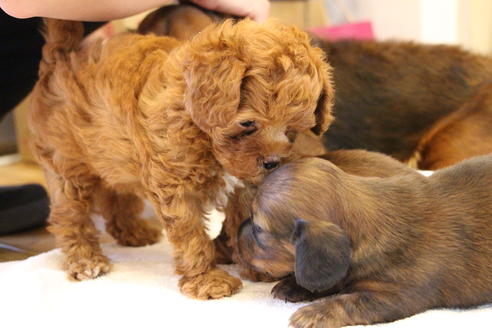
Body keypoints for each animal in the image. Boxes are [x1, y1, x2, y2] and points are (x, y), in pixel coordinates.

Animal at [28, 18, 332, 300]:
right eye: (247, 124)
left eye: (292, 127)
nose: (272, 162)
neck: (197, 123)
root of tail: (61, 55)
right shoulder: (175, 185)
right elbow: (191, 235)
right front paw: (207, 280)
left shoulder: (244, 184)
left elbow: (244, 221)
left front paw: (256, 266)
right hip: (66, 163)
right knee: (70, 215)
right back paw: (85, 260)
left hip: (112, 157)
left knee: (116, 196)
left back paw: (133, 232)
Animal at [237, 154, 492, 328]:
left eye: (258, 228)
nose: (236, 235)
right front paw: (294, 285)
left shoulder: (395, 295)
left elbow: (348, 302)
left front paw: (314, 313)